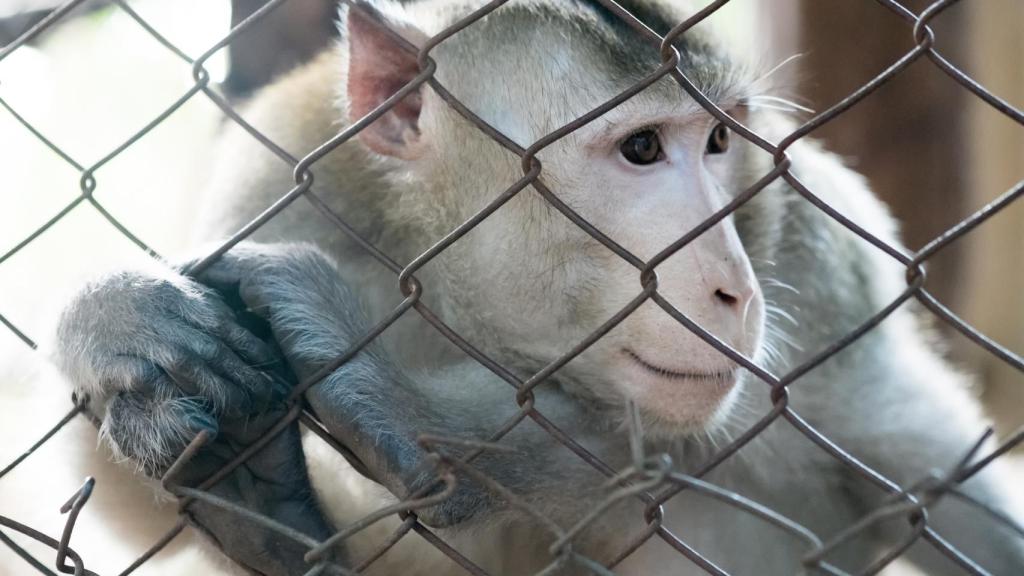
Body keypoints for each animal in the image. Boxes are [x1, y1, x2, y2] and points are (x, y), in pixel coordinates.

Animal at [49, 0, 1024, 574]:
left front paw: (432, 426)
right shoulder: (277, 183)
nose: (736, 292)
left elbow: (951, 504)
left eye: (719, 143)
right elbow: (127, 507)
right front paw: (118, 317)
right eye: (642, 149)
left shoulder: (817, 265)